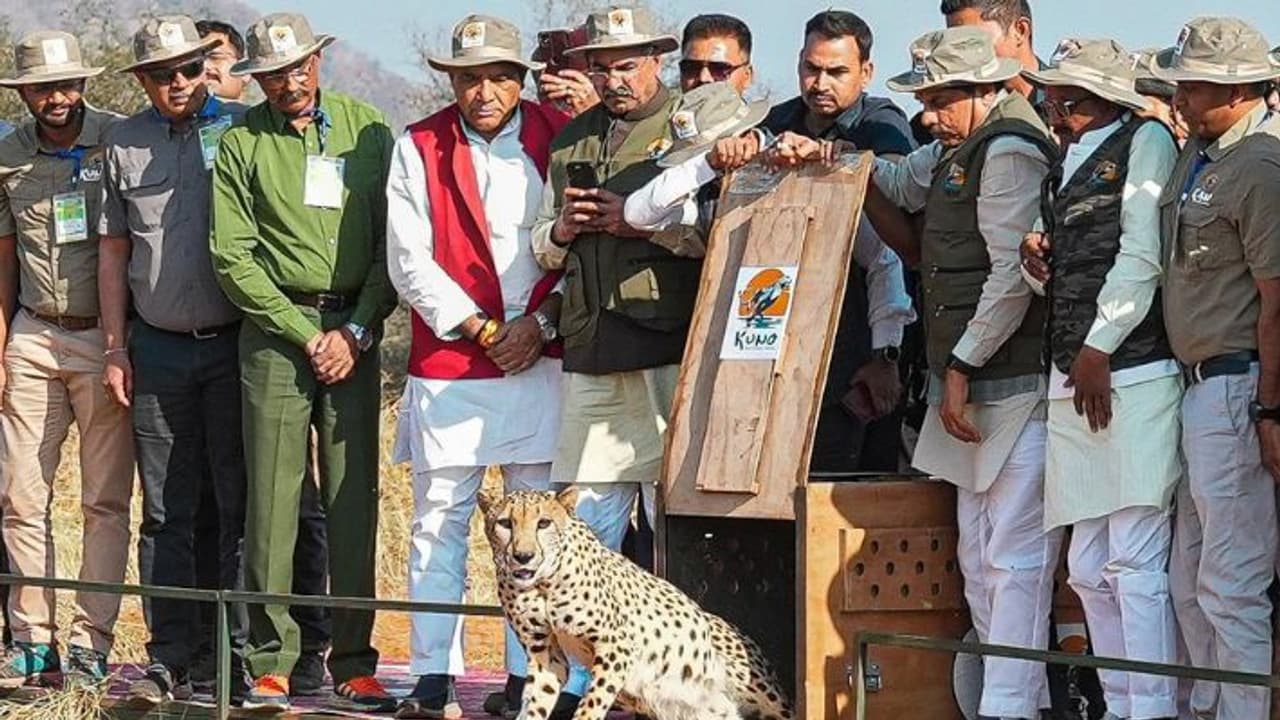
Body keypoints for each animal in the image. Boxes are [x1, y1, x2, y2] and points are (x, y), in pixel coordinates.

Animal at [478, 487, 794, 720]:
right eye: (505, 523)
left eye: (543, 523)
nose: (523, 556)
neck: (542, 583)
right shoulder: (546, 653)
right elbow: (535, 702)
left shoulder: (616, 647)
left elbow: (591, 704)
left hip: (757, 688)